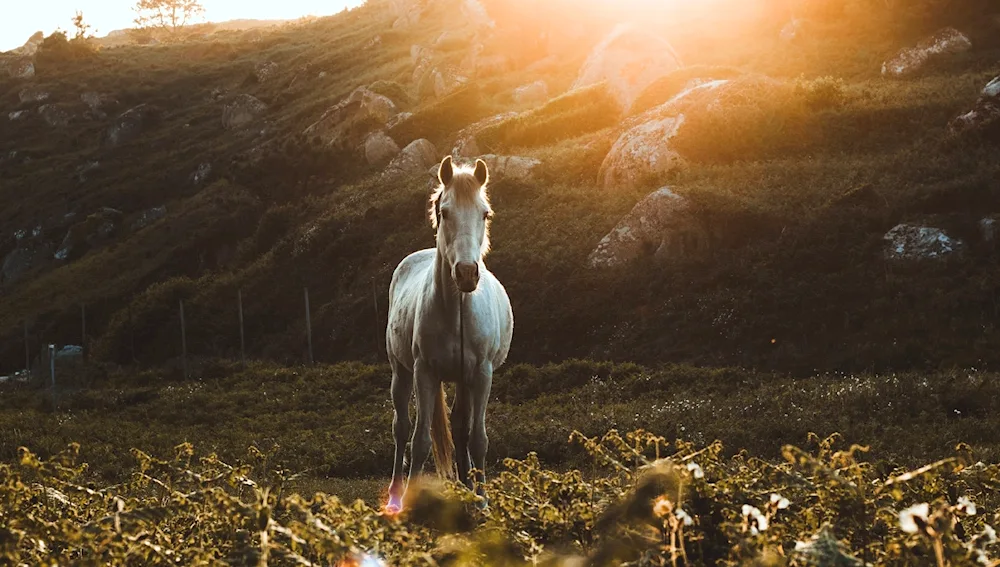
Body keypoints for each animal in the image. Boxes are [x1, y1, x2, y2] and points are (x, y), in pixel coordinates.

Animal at [384, 156, 516, 516]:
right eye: (444, 212)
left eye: (484, 213)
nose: (467, 273)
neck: (456, 310)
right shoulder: (424, 373)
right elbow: (420, 441)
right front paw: (411, 503)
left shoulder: (481, 374)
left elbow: (477, 438)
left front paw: (482, 501)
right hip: (401, 373)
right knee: (401, 429)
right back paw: (395, 495)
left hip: (462, 379)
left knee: (459, 428)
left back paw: (466, 489)